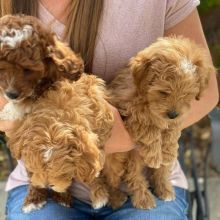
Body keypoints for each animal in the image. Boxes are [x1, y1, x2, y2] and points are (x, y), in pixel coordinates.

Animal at [105, 36, 215, 210]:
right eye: (164, 92)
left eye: (186, 94)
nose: (172, 114)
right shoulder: (127, 110)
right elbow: (148, 128)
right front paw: (154, 155)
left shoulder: (178, 116)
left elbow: (173, 129)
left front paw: (168, 150)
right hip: (119, 160)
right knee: (124, 178)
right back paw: (132, 198)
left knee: (160, 172)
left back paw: (164, 189)